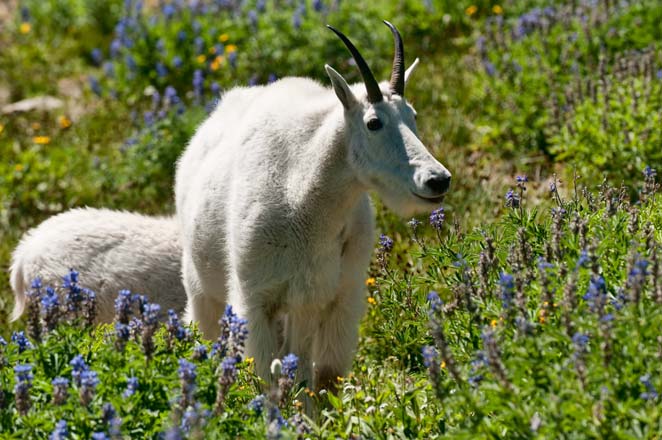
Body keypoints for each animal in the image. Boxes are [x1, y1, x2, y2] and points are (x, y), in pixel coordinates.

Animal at [178, 22, 452, 390]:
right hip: (202, 290)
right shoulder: (255, 299)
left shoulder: (338, 297)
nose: (438, 180)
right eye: (373, 122)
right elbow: (268, 379)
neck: (307, 200)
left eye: (413, 116)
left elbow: (322, 377)